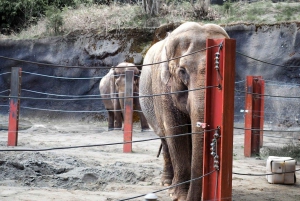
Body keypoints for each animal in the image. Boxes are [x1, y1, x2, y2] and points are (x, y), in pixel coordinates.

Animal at [139, 21, 230, 200]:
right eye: (182, 71)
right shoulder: (163, 89)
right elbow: (175, 131)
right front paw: (178, 196)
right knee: (165, 139)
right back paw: (167, 183)